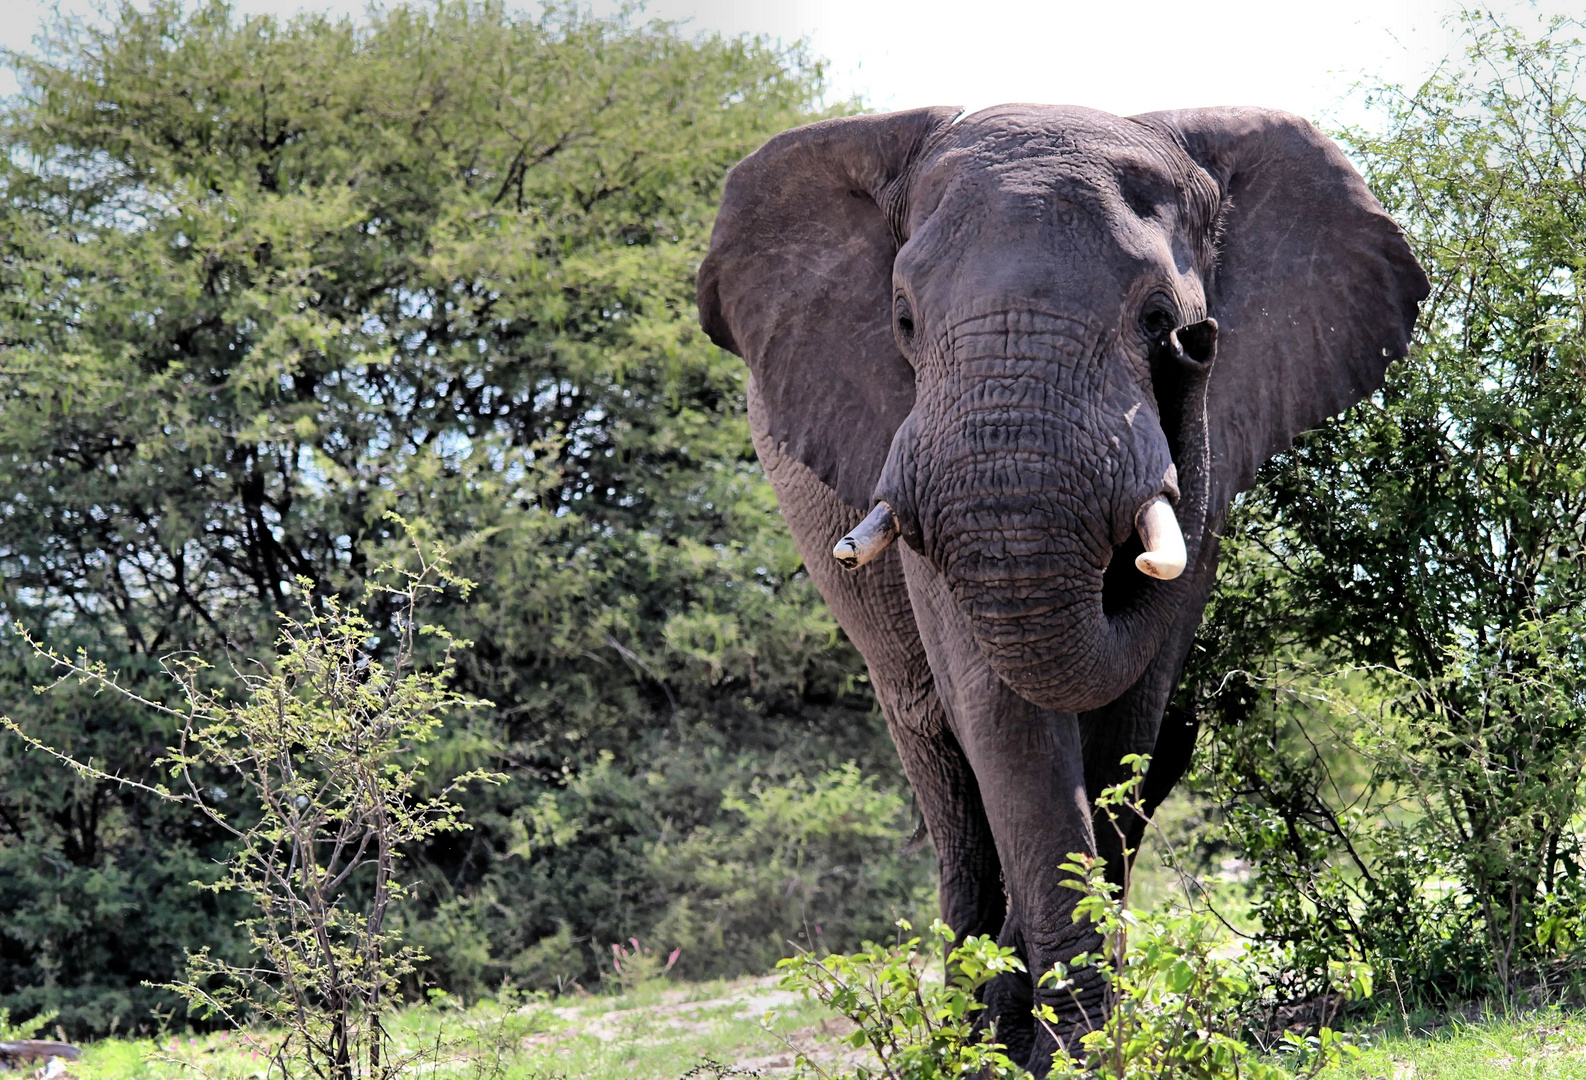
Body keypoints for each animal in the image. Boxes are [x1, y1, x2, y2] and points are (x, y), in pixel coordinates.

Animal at [694, 103, 1427, 1072]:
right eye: (903, 322)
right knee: (943, 769)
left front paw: (1085, 1041)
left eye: (1158, 319)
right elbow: (1000, 706)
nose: (1198, 346)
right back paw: (969, 1033)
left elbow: (1130, 708)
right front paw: (1061, 1051)